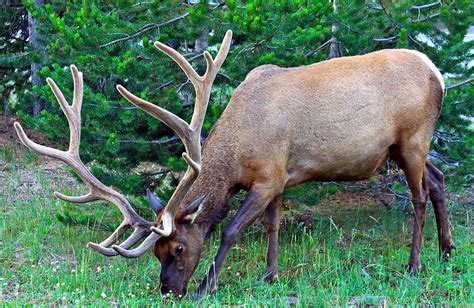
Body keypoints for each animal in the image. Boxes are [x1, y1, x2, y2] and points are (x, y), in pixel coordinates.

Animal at [13, 30, 456, 298]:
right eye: (156, 253)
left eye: (177, 248)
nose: (169, 289)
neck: (238, 153)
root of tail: (438, 74)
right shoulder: (280, 177)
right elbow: (273, 225)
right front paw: (270, 275)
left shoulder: (267, 178)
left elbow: (231, 229)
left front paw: (207, 285)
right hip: (404, 148)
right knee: (438, 180)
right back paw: (447, 251)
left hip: (413, 139)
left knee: (419, 195)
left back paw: (415, 265)